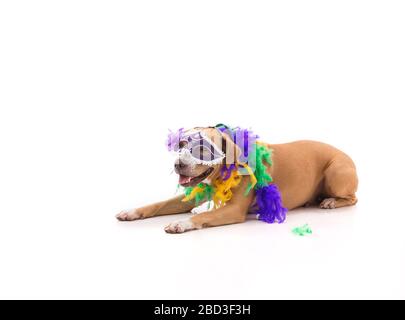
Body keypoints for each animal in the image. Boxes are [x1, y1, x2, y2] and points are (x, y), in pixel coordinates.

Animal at [114, 126, 356, 234]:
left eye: (203, 149)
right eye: (181, 144)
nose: (178, 164)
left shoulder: (234, 210)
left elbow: (205, 215)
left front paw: (181, 223)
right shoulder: (192, 196)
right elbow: (158, 204)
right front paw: (132, 212)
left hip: (336, 172)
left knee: (352, 198)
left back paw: (330, 201)